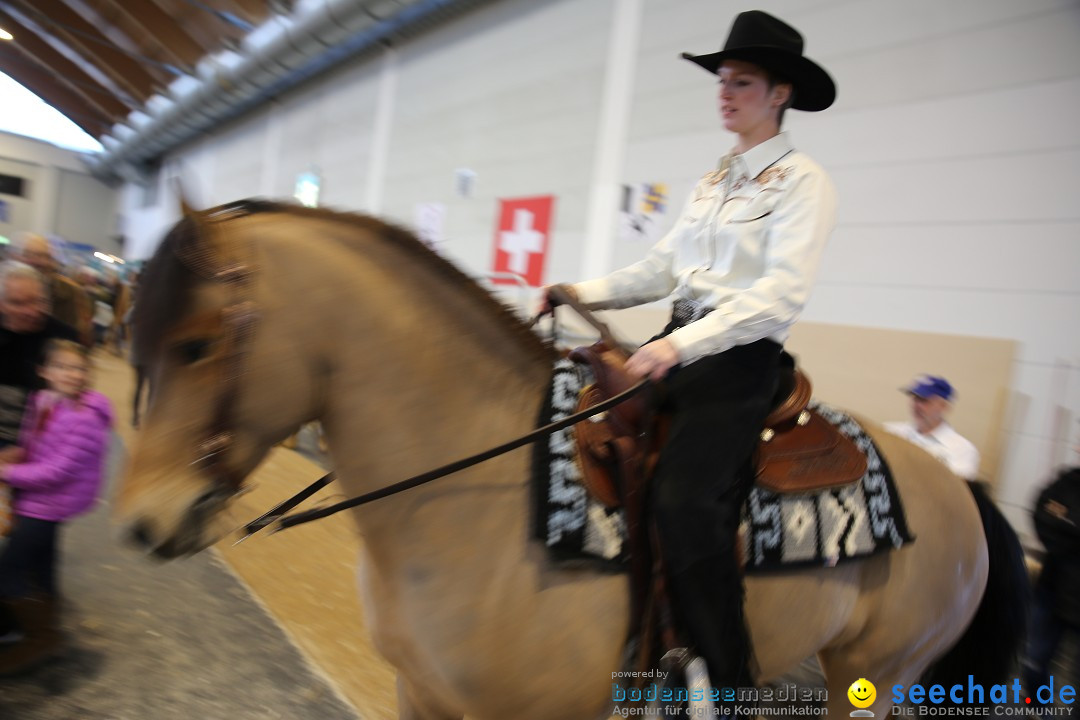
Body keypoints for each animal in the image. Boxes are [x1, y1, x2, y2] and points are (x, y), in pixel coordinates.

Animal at [118, 201, 1028, 720]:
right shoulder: (422, 694)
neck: (476, 498)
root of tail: (963, 489)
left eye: (196, 343)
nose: (139, 523)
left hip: (877, 676)